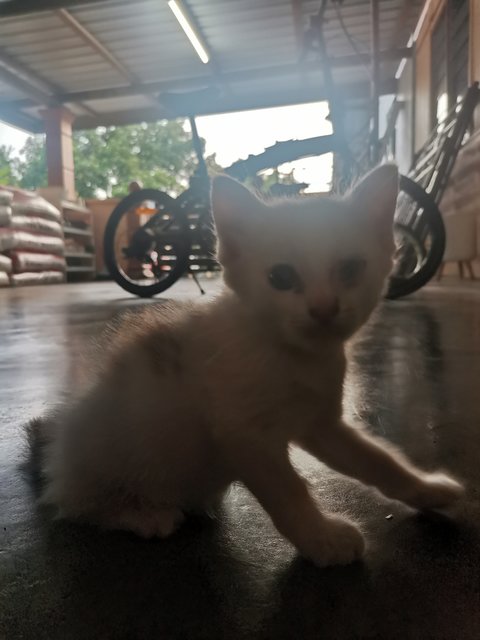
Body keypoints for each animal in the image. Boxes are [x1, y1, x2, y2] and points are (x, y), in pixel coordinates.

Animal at [28, 165, 464, 564]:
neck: (292, 357)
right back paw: (143, 514)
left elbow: (378, 459)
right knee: (76, 504)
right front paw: (323, 541)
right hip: (111, 451)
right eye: (281, 276)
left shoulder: (321, 424)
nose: (323, 309)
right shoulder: (244, 435)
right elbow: (289, 490)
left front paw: (426, 489)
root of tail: (58, 446)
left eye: (350, 269)